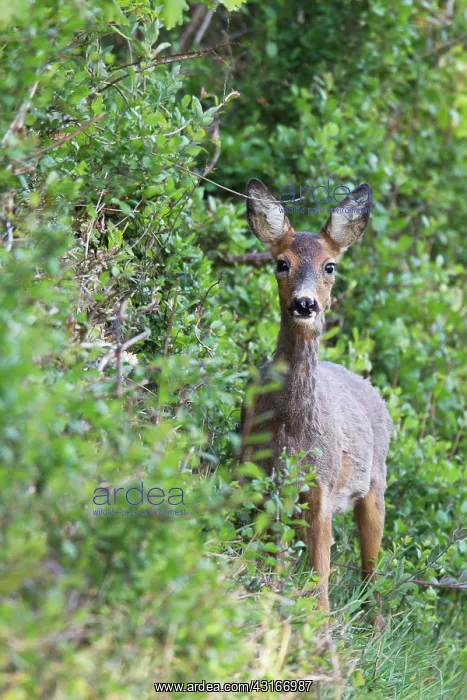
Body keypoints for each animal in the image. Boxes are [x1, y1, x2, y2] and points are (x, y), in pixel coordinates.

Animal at [240, 178, 392, 628]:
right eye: (281, 263)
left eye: (330, 266)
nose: (305, 304)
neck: (291, 428)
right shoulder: (252, 469)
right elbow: (256, 548)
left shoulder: (320, 484)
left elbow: (320, 575)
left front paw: (320, 628)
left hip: (375, 482)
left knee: (371, 567)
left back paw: (376, 630)